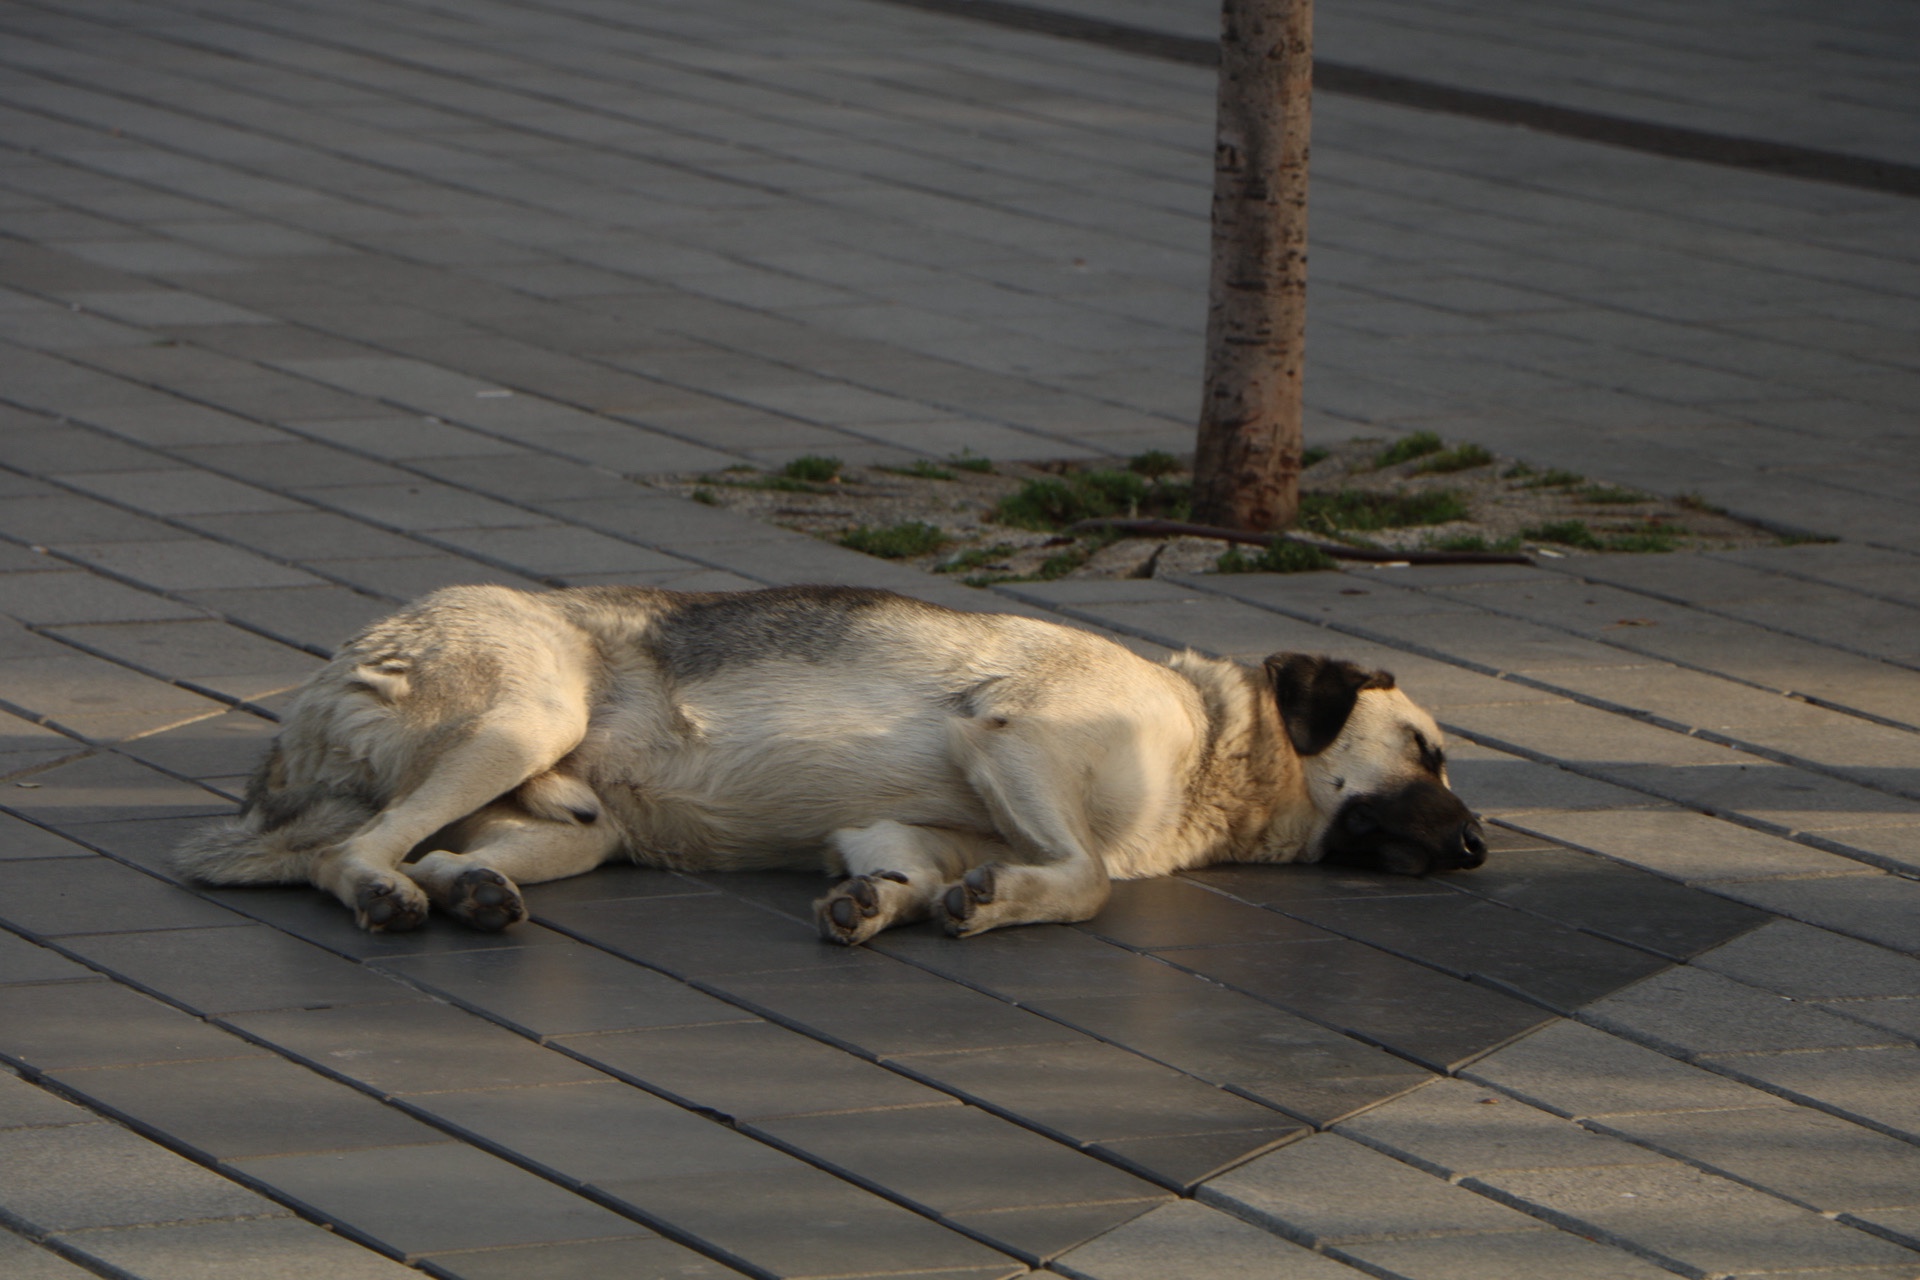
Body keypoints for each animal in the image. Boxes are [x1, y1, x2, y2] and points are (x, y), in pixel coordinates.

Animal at [176, 587, 1482, 940]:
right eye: (1425, 750)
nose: (1478, 847)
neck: (1213, 745)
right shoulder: (1009, 732)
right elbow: (1087, 876)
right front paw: (1002, 898)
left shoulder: (903, 825)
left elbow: (925, 866)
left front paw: (895, 902)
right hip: (524, 716)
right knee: (351, 849)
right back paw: (388, 893)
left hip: (572, 821)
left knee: (438, 847)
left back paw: (467, 889)